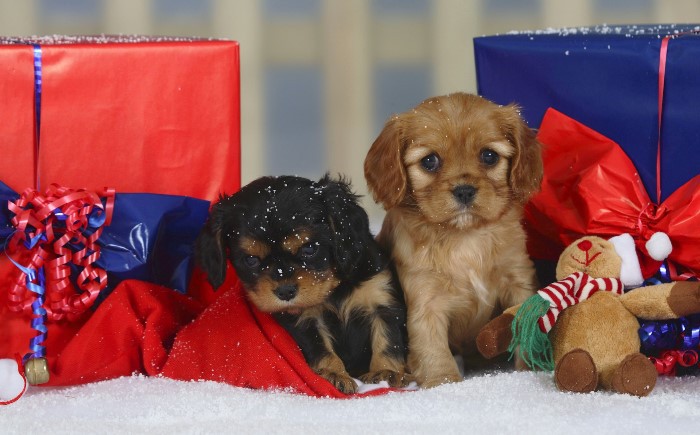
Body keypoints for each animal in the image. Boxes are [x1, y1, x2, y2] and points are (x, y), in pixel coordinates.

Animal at [194, 175, 412, 396]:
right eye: (251, 260)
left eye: (309, 249)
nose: (285, 292)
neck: (333, 290)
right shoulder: (306, 320)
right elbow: (321, 349)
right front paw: (334, 374)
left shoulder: (382, 300)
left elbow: (387, 341)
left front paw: (386, 373)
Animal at [364, 93, 544, 388]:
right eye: (429, 161)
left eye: (489, 156)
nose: (464, 190)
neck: (465, 237)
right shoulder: (426, 299)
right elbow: (432, 347)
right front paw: (443, 380)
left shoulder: (518, 281)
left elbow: (522, 325)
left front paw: (528, 371)